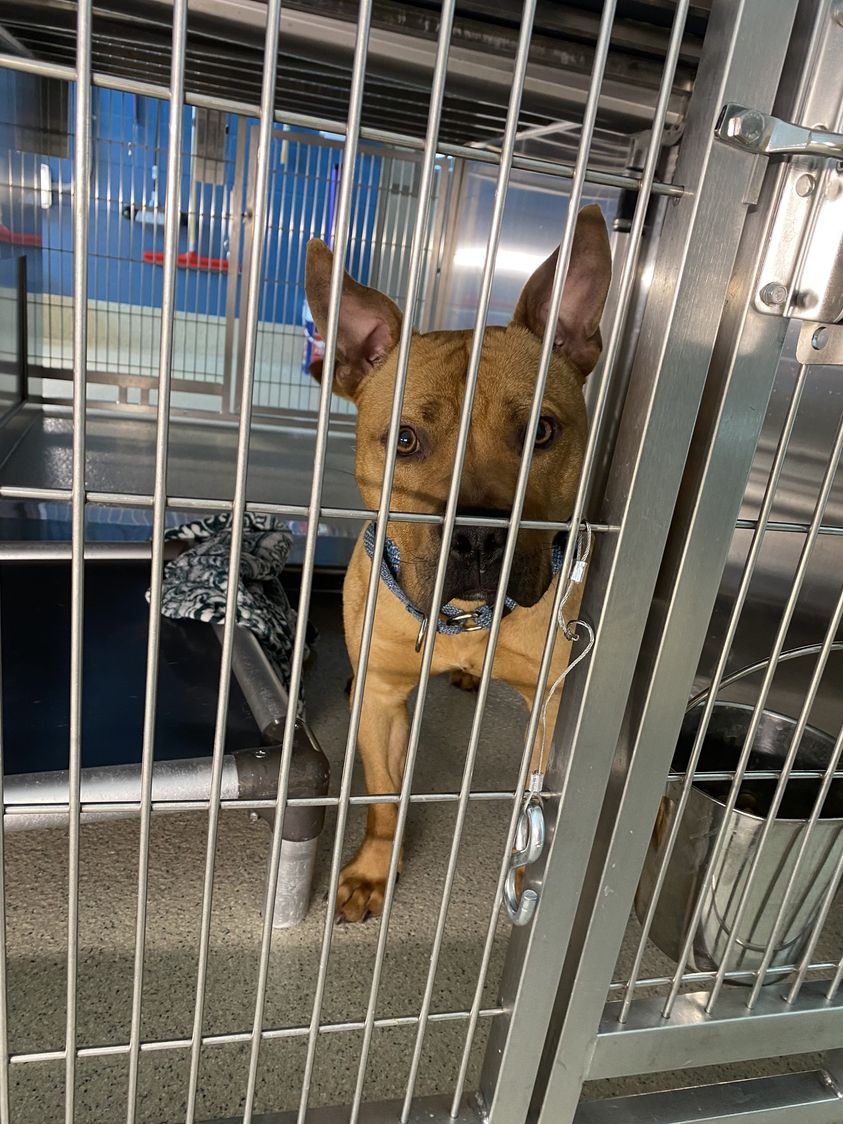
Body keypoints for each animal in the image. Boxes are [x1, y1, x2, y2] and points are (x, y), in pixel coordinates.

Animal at [307, 204, 611, 921]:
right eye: (405, 439)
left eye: (540, 432)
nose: (475, 537)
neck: (466, 620)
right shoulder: (383, 700)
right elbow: (384, 795)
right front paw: (373, 871)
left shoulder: (553, 711)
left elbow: (532, 812)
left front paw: (524, 886)